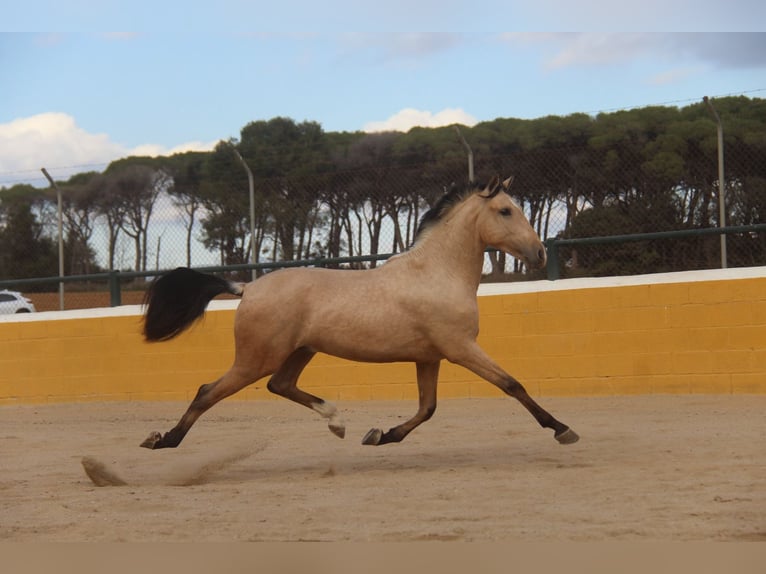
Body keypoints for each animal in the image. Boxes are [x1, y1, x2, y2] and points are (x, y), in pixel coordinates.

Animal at [141, 176, 580, 450]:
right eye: (505, 211)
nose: (539, 254)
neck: (437, 272)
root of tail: (246, 288)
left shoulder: (430, 357)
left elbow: (428, 408)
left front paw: (381, 435)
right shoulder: (460, 349)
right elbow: (512, 384)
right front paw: (563, 429)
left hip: (299, 352)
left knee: (280, 386)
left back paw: (337, 422)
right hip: (256, 358)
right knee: (208, 391)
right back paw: (163, 440)